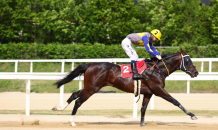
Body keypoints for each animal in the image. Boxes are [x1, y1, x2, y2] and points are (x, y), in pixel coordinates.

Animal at [52, 48, 199, 126]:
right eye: (187, 60)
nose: (196, 72)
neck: (157, 70)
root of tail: (90, 65)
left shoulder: (148, 93)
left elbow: (143, 108)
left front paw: (142, 124)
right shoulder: (158, 90)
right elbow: (175, 101)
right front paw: (192, 115)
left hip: (90, 87)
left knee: (74, 95)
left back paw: (59, 108)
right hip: (92, 88)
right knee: (78, 101)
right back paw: (72, 121)